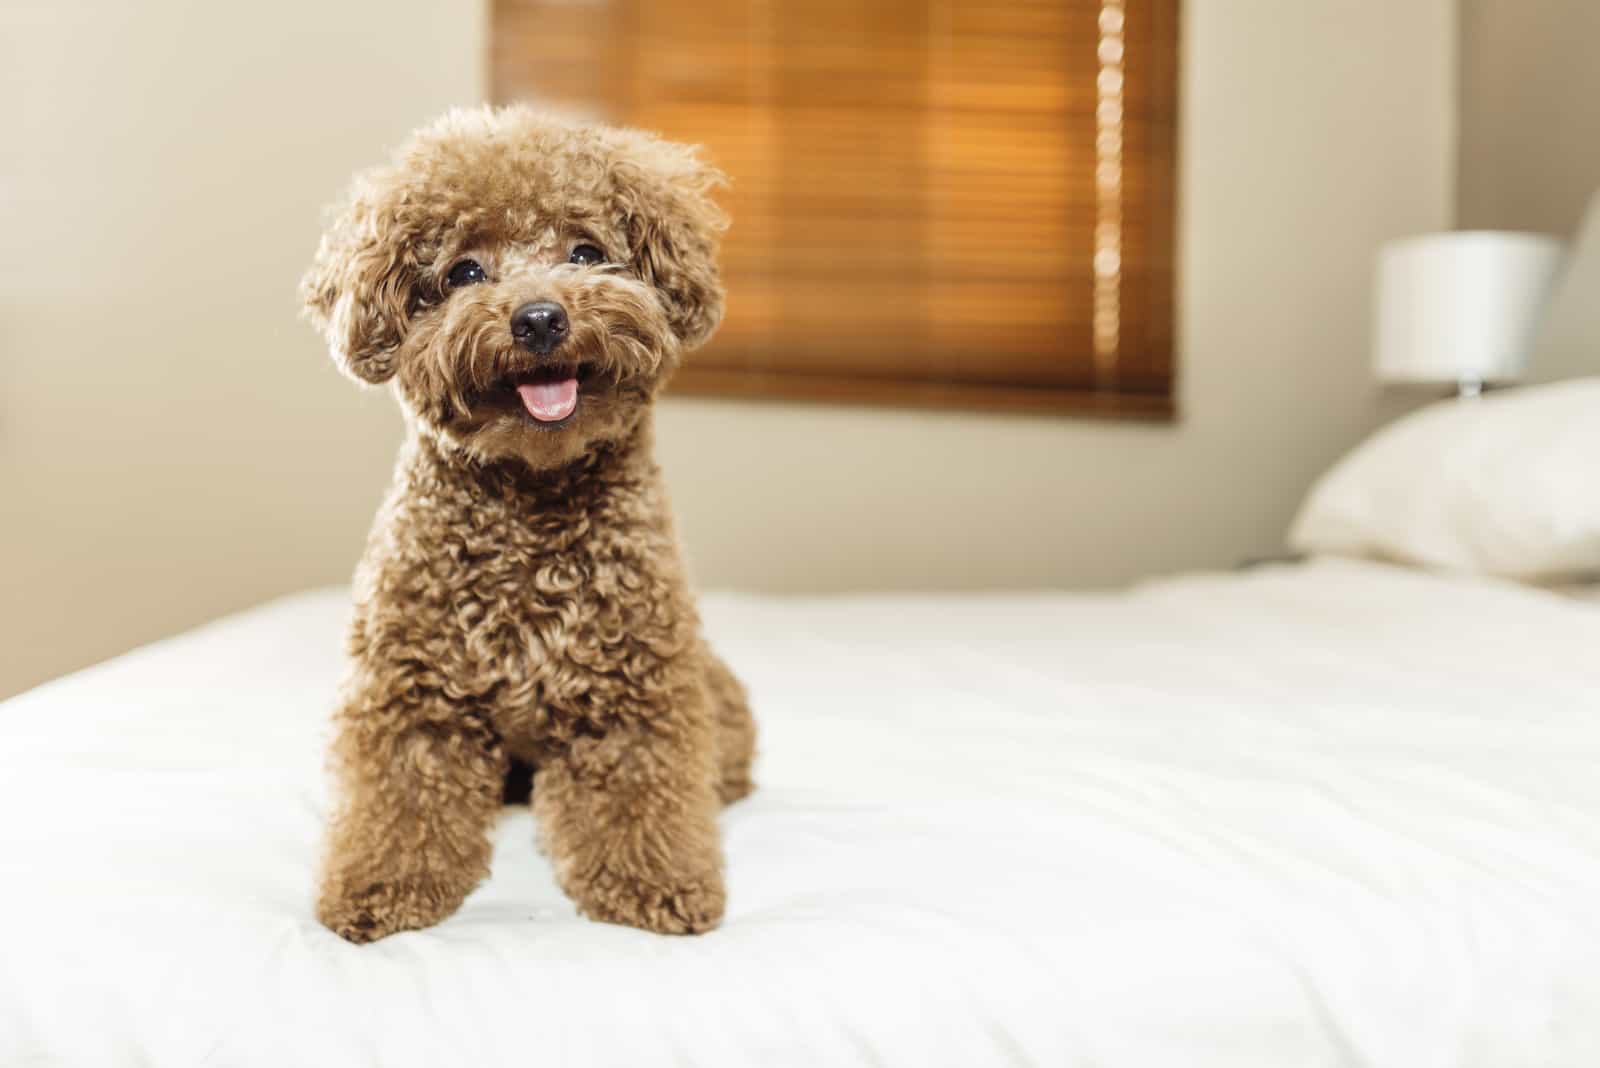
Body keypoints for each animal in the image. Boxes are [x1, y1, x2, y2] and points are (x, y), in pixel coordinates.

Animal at [300, 106, 761, 940]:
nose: (541, 317)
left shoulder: (637, 698)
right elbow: (398, 802)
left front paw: (655, 887)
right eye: (463, 273)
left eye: (585, 252)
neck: (530, 504)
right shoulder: (411, 699)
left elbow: (641, 797)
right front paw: (379, 888)